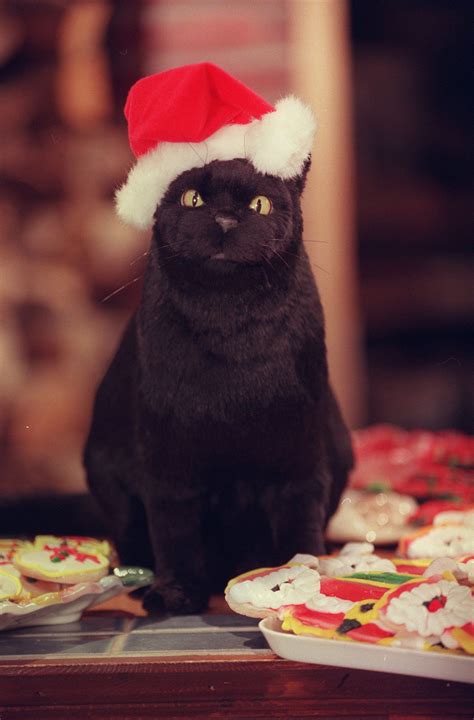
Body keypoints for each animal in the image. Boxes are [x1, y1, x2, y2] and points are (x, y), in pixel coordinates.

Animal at [84, 158, 352, 612]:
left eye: (259, 204)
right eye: (193, 198)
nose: (225, 219)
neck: (230, 332)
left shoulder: (299, 456)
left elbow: (301, 528)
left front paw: (302, 579)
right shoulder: (168, 463)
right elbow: (175, 532)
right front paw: (174, 593)